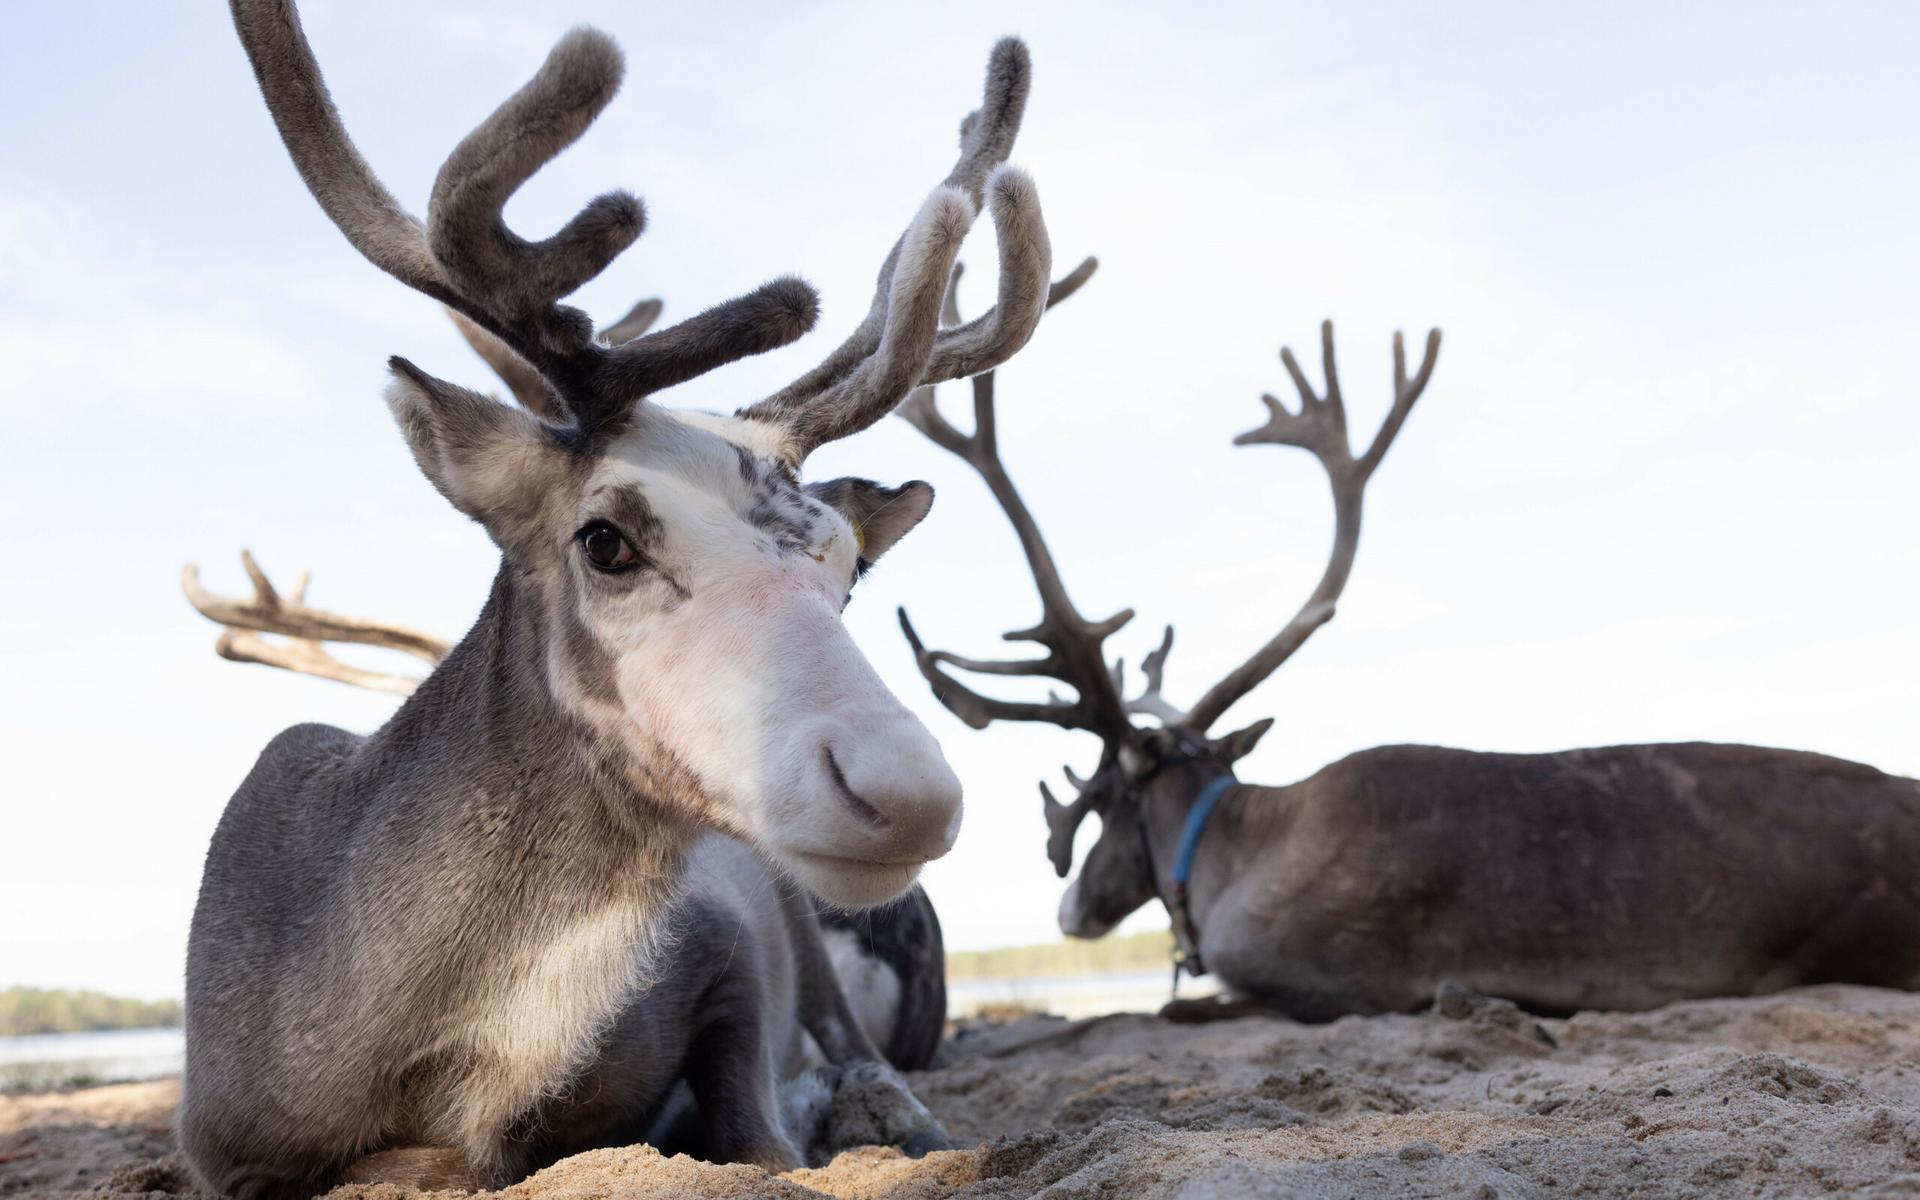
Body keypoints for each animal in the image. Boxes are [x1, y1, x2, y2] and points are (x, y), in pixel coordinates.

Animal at [184, 1, 1056, 1194]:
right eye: (605, 541)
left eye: (846, 568)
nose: (910, 790)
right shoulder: (214, 1140)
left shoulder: (734, 943)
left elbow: (757, 1126)